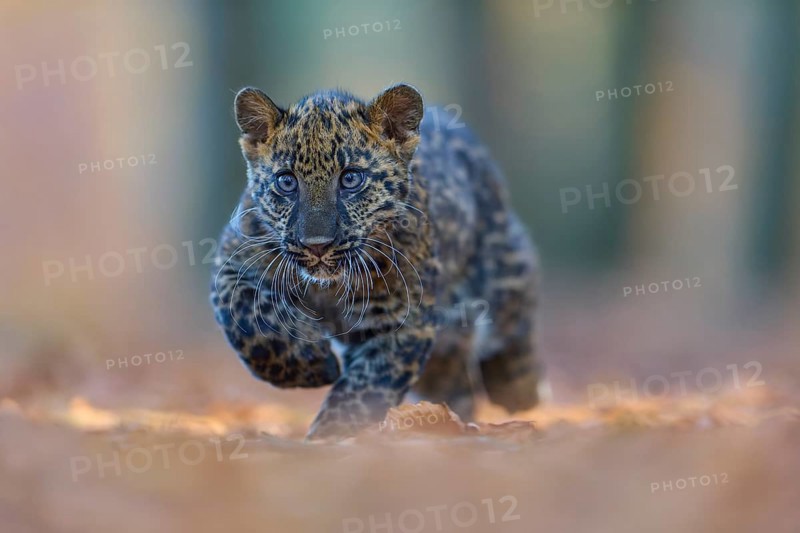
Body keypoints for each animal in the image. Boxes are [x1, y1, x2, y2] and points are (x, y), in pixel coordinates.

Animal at [210, 83, 542, 440]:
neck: (328, 287)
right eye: (286, 181)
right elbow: (248, 320)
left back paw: (519, 391)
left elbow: (365, 389)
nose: (317, 245)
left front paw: (330, 436)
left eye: (351, 179)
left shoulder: (402, 320)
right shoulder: (232, 265)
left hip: (504, 273)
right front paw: (312, 364)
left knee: (515, 320)